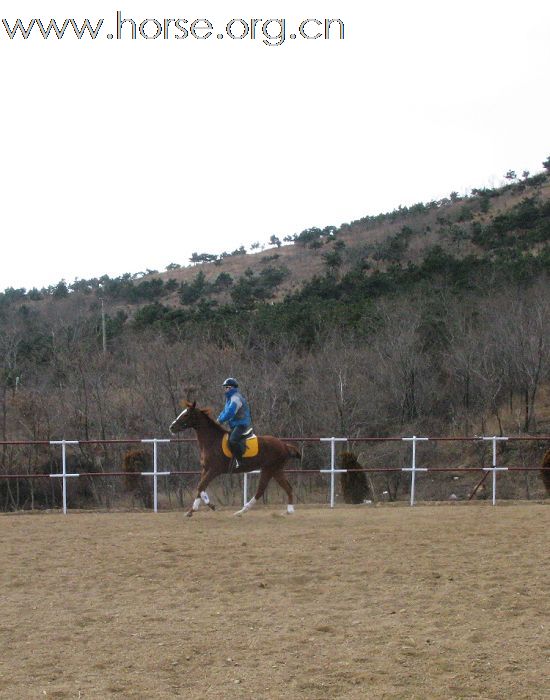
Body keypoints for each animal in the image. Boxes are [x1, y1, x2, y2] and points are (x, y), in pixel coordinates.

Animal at [170, 402, 302, 516]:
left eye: (186, 414)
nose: (172, 427)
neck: (212, 441)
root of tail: (284, 445)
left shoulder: (214, 470)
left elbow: (200, 486)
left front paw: (211, 505)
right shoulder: (205, 469)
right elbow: (200, 487)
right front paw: (191, 510)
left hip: (269, 469)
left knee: (261, 490)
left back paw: (241, 511)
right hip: (276, 470)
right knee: (287, 488)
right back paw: (288, 511)